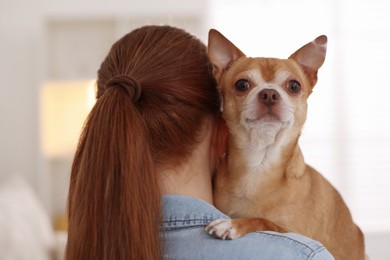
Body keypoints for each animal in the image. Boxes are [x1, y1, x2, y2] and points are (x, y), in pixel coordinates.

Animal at [207, 29, 366, 260]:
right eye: (242, 84)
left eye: (294, 86)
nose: (269, 93)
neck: (260, 163)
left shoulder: (297, 232)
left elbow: (264, 221)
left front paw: (232, 225)